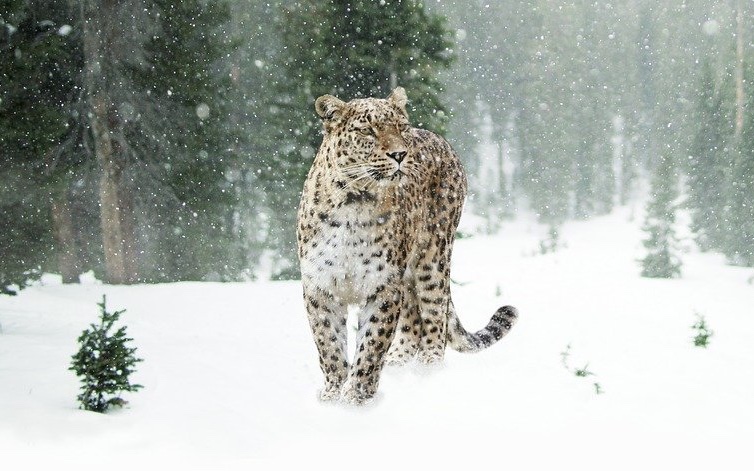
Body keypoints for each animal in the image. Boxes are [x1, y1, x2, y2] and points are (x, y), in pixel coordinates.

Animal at [297, 87, 518, 405]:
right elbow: (329, 344)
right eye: (368, 130)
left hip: (433, 258)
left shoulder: (383, 285)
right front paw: (333, 394)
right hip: (410, 275)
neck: (353, 203)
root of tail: (440, 139)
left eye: (400, 127)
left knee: (434, 316)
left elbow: (372, 344)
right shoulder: (320, 286)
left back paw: (427, 371)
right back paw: (399, 365)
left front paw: (357, 397)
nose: (400, 154)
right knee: (413, 320)